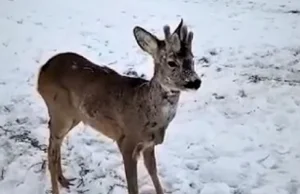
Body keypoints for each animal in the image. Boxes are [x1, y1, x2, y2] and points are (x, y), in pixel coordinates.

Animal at [37, 18, 202, 194]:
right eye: (171, 63)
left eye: (192, 59)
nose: (195, 82)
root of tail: (42, 71)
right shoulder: (127, 141)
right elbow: (133, 186)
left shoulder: (149, 144)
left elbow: (153, 171)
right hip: (60, 110)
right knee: (52, 149)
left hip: (74, 116)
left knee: (55, 143)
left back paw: (63, 180)